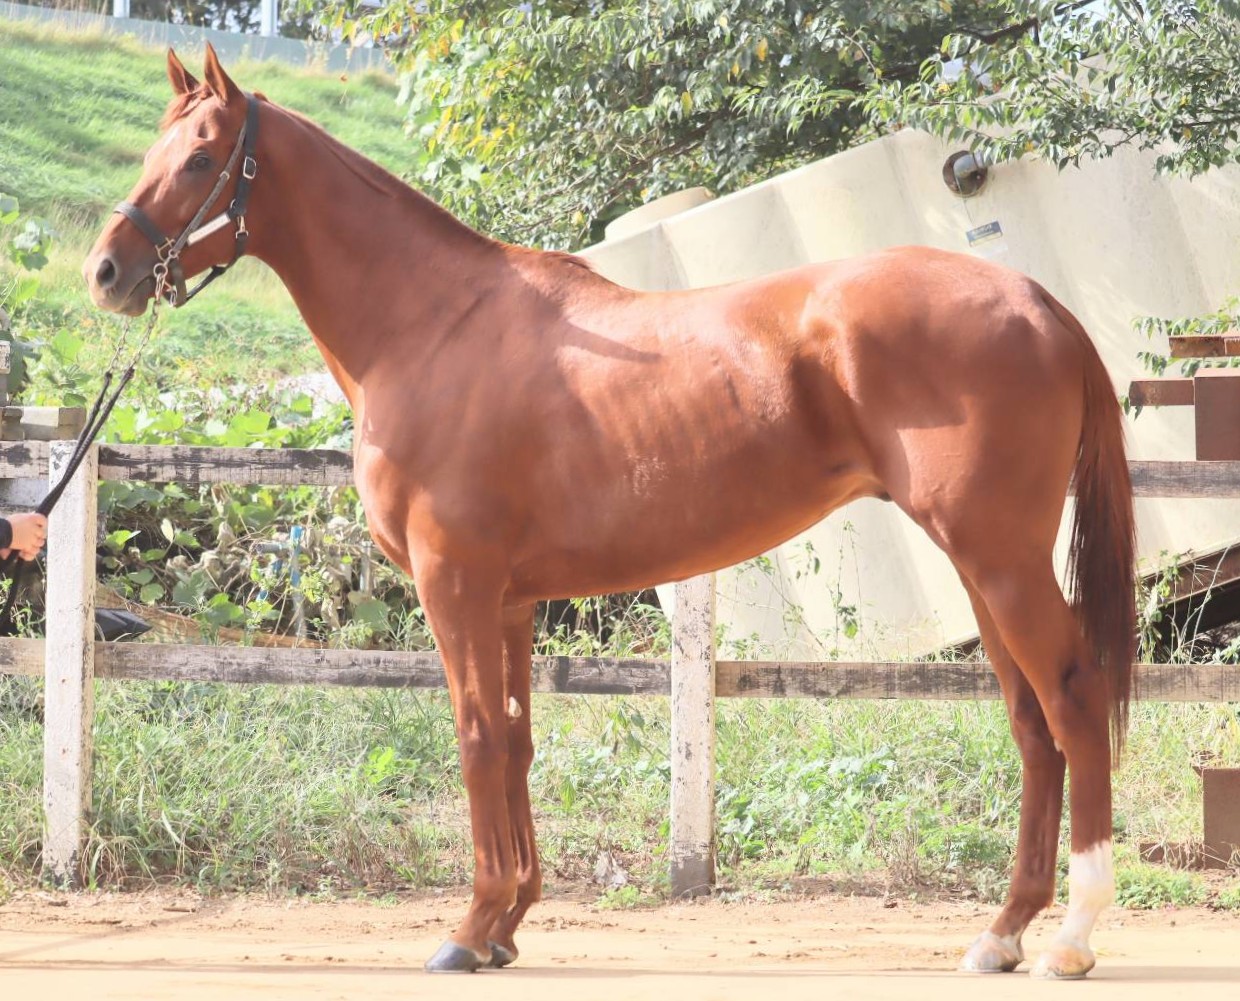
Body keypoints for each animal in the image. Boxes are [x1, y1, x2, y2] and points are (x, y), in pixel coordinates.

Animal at [84, 45, 1135, 979]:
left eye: (201, 158)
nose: (106, 272)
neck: (431, 325)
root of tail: (1035, 299)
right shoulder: (510, 601)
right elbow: (515, 741)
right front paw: (508, 923)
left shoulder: (454, 584)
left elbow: (475, 737)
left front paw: (468, 928)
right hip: (981, 566)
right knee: (1031, 725)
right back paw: (1001, 933)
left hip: (1001, 559)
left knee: (1075, 700)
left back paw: (1073, 938)